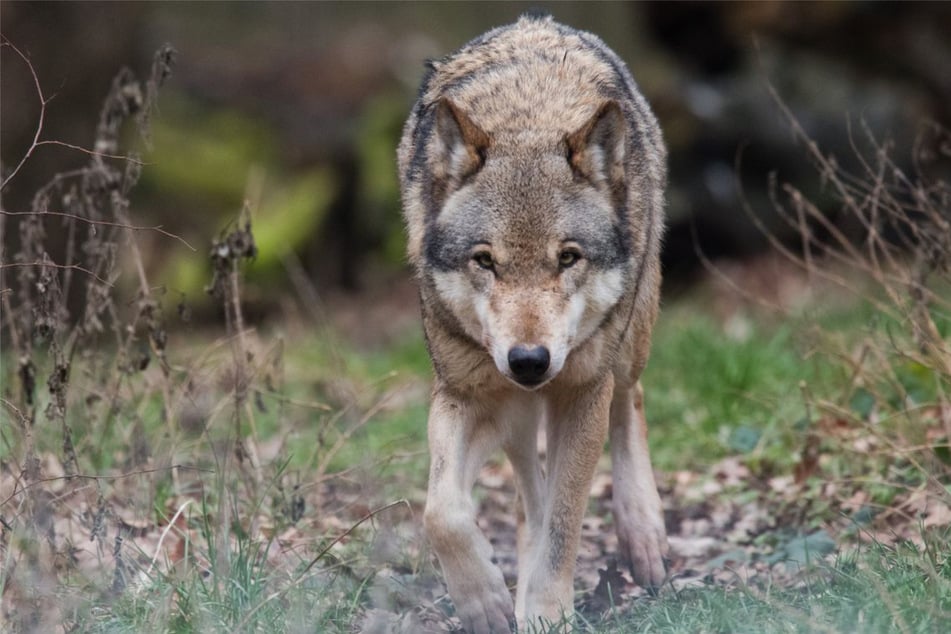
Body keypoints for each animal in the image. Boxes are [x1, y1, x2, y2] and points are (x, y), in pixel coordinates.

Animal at [397, 13, 668, 632]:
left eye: (567, 257)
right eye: (485, 261)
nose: (528, 361)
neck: (528, 117)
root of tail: (537, 21)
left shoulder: (582, 392)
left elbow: (565, 525)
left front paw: (545, 611)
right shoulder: (465, 393)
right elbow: (441, 512)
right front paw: (487, 602)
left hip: (626, 345)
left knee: (631, 400)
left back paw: (643, 535)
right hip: (514, 411)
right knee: (528, 489)